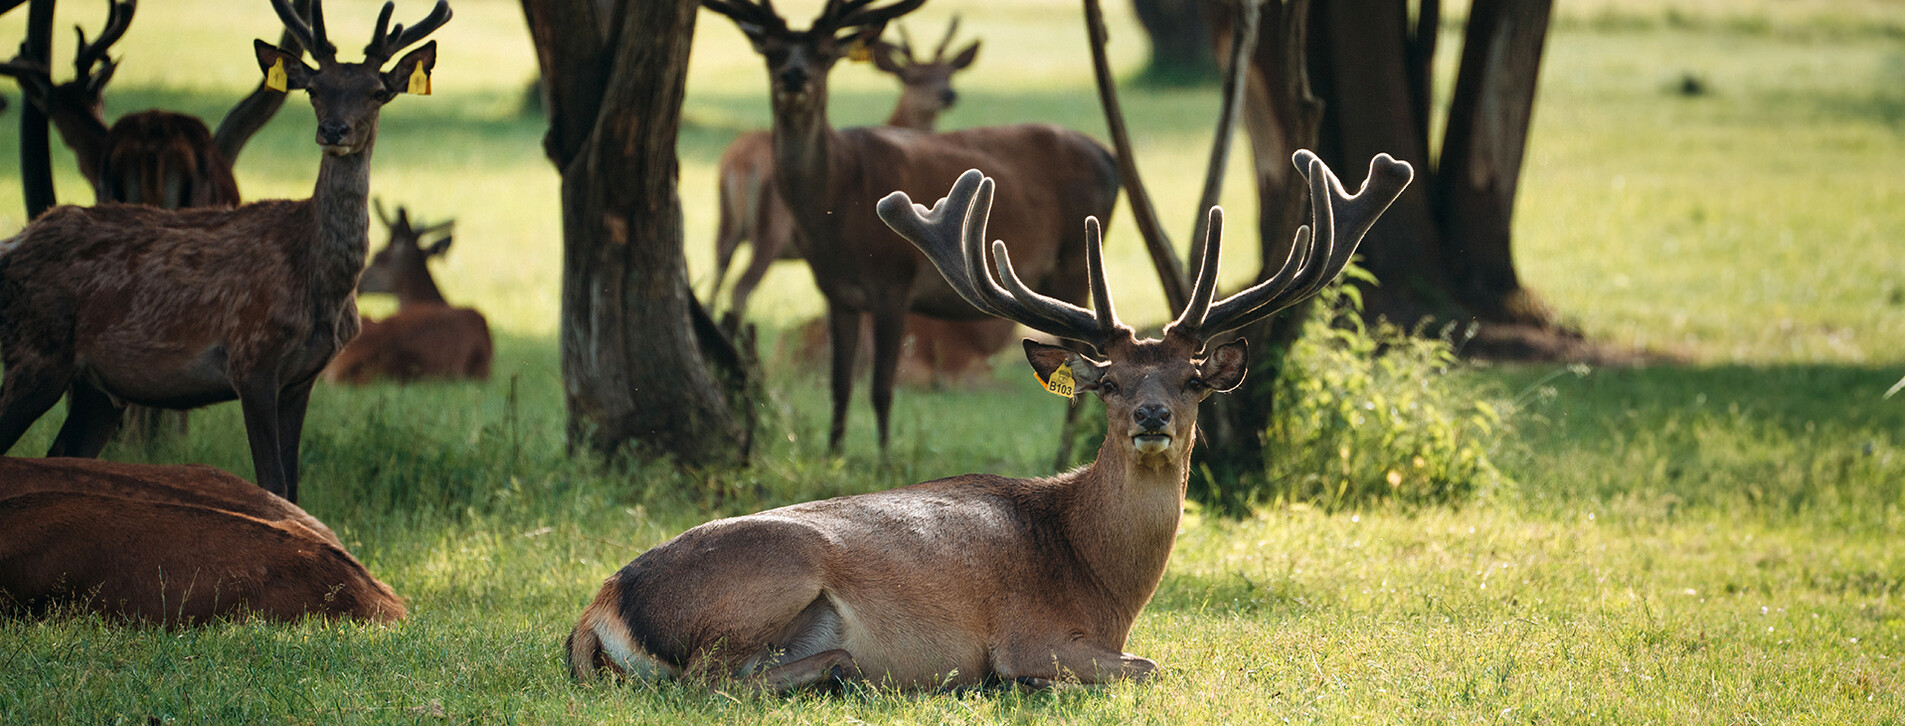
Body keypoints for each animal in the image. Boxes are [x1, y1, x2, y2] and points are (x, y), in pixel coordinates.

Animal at [0, 0, 451, 503]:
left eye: (377, 92)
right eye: (315, 88)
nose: (334, 130)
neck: (319, 283)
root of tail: (11, 245)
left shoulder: (302, 378)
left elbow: (293, 489)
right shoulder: (250, 356)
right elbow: (272, 484)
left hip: (96, 387)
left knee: (62, 453)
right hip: (35, 350)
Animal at [563, 149, 1417, 685]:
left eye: (1192, 381)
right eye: (1107, 382)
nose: (1150, 415)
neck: (1101, 584)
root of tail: (600, 606)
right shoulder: (1026, 633)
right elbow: (1147, 665)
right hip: (773, 575)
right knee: (709, 678)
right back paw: (844, 670)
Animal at [701, 0, 1112, 453]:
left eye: (826, 55)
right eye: (770, 53)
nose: (794, 76)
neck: (838, 197)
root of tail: (1109, 157)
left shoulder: (894, 281)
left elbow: (880, 388)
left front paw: (881, 459)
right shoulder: (836, 290)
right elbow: (840, 386)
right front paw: (834, 455)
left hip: (1073, 263)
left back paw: (1065, 455)